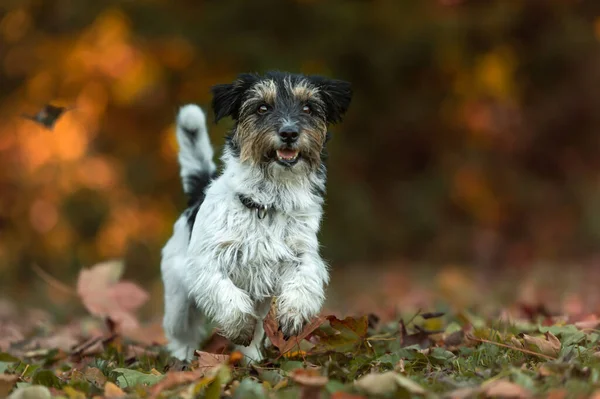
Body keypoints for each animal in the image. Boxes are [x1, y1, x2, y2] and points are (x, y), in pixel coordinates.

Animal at [162, 71, 354, 362]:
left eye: (308, 108)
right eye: (262, 108)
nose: (289, 133)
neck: (268, 202)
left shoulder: (301, 254)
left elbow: (304, 279)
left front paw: (293, 313)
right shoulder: (206, 264)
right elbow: (227, 296)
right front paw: (239, 326)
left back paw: (253, 361)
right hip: (178, 301)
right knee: (181, 333)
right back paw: (183, 357)